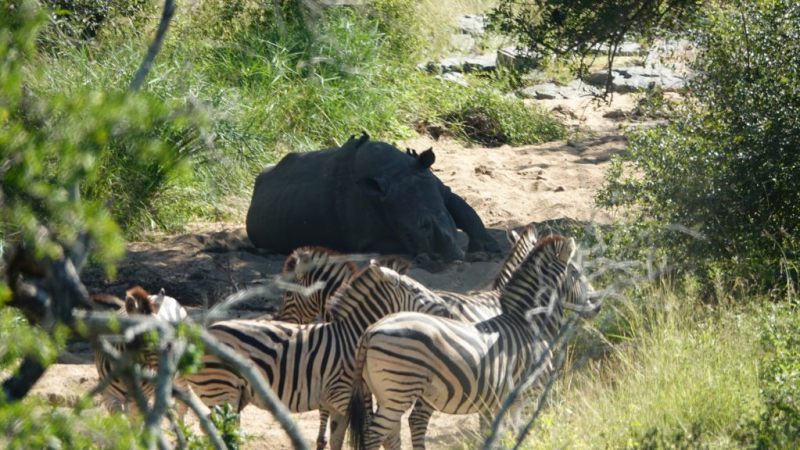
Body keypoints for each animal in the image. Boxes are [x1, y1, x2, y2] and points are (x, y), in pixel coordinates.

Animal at [184, 260, 454, 450]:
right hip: (222, 390)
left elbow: (338, 440)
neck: (353, 337)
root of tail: (201, 333)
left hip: (232, 394)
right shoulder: (344, 396)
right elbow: (377, 437)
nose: (448, 310)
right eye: (416, 290)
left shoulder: (340, 402)